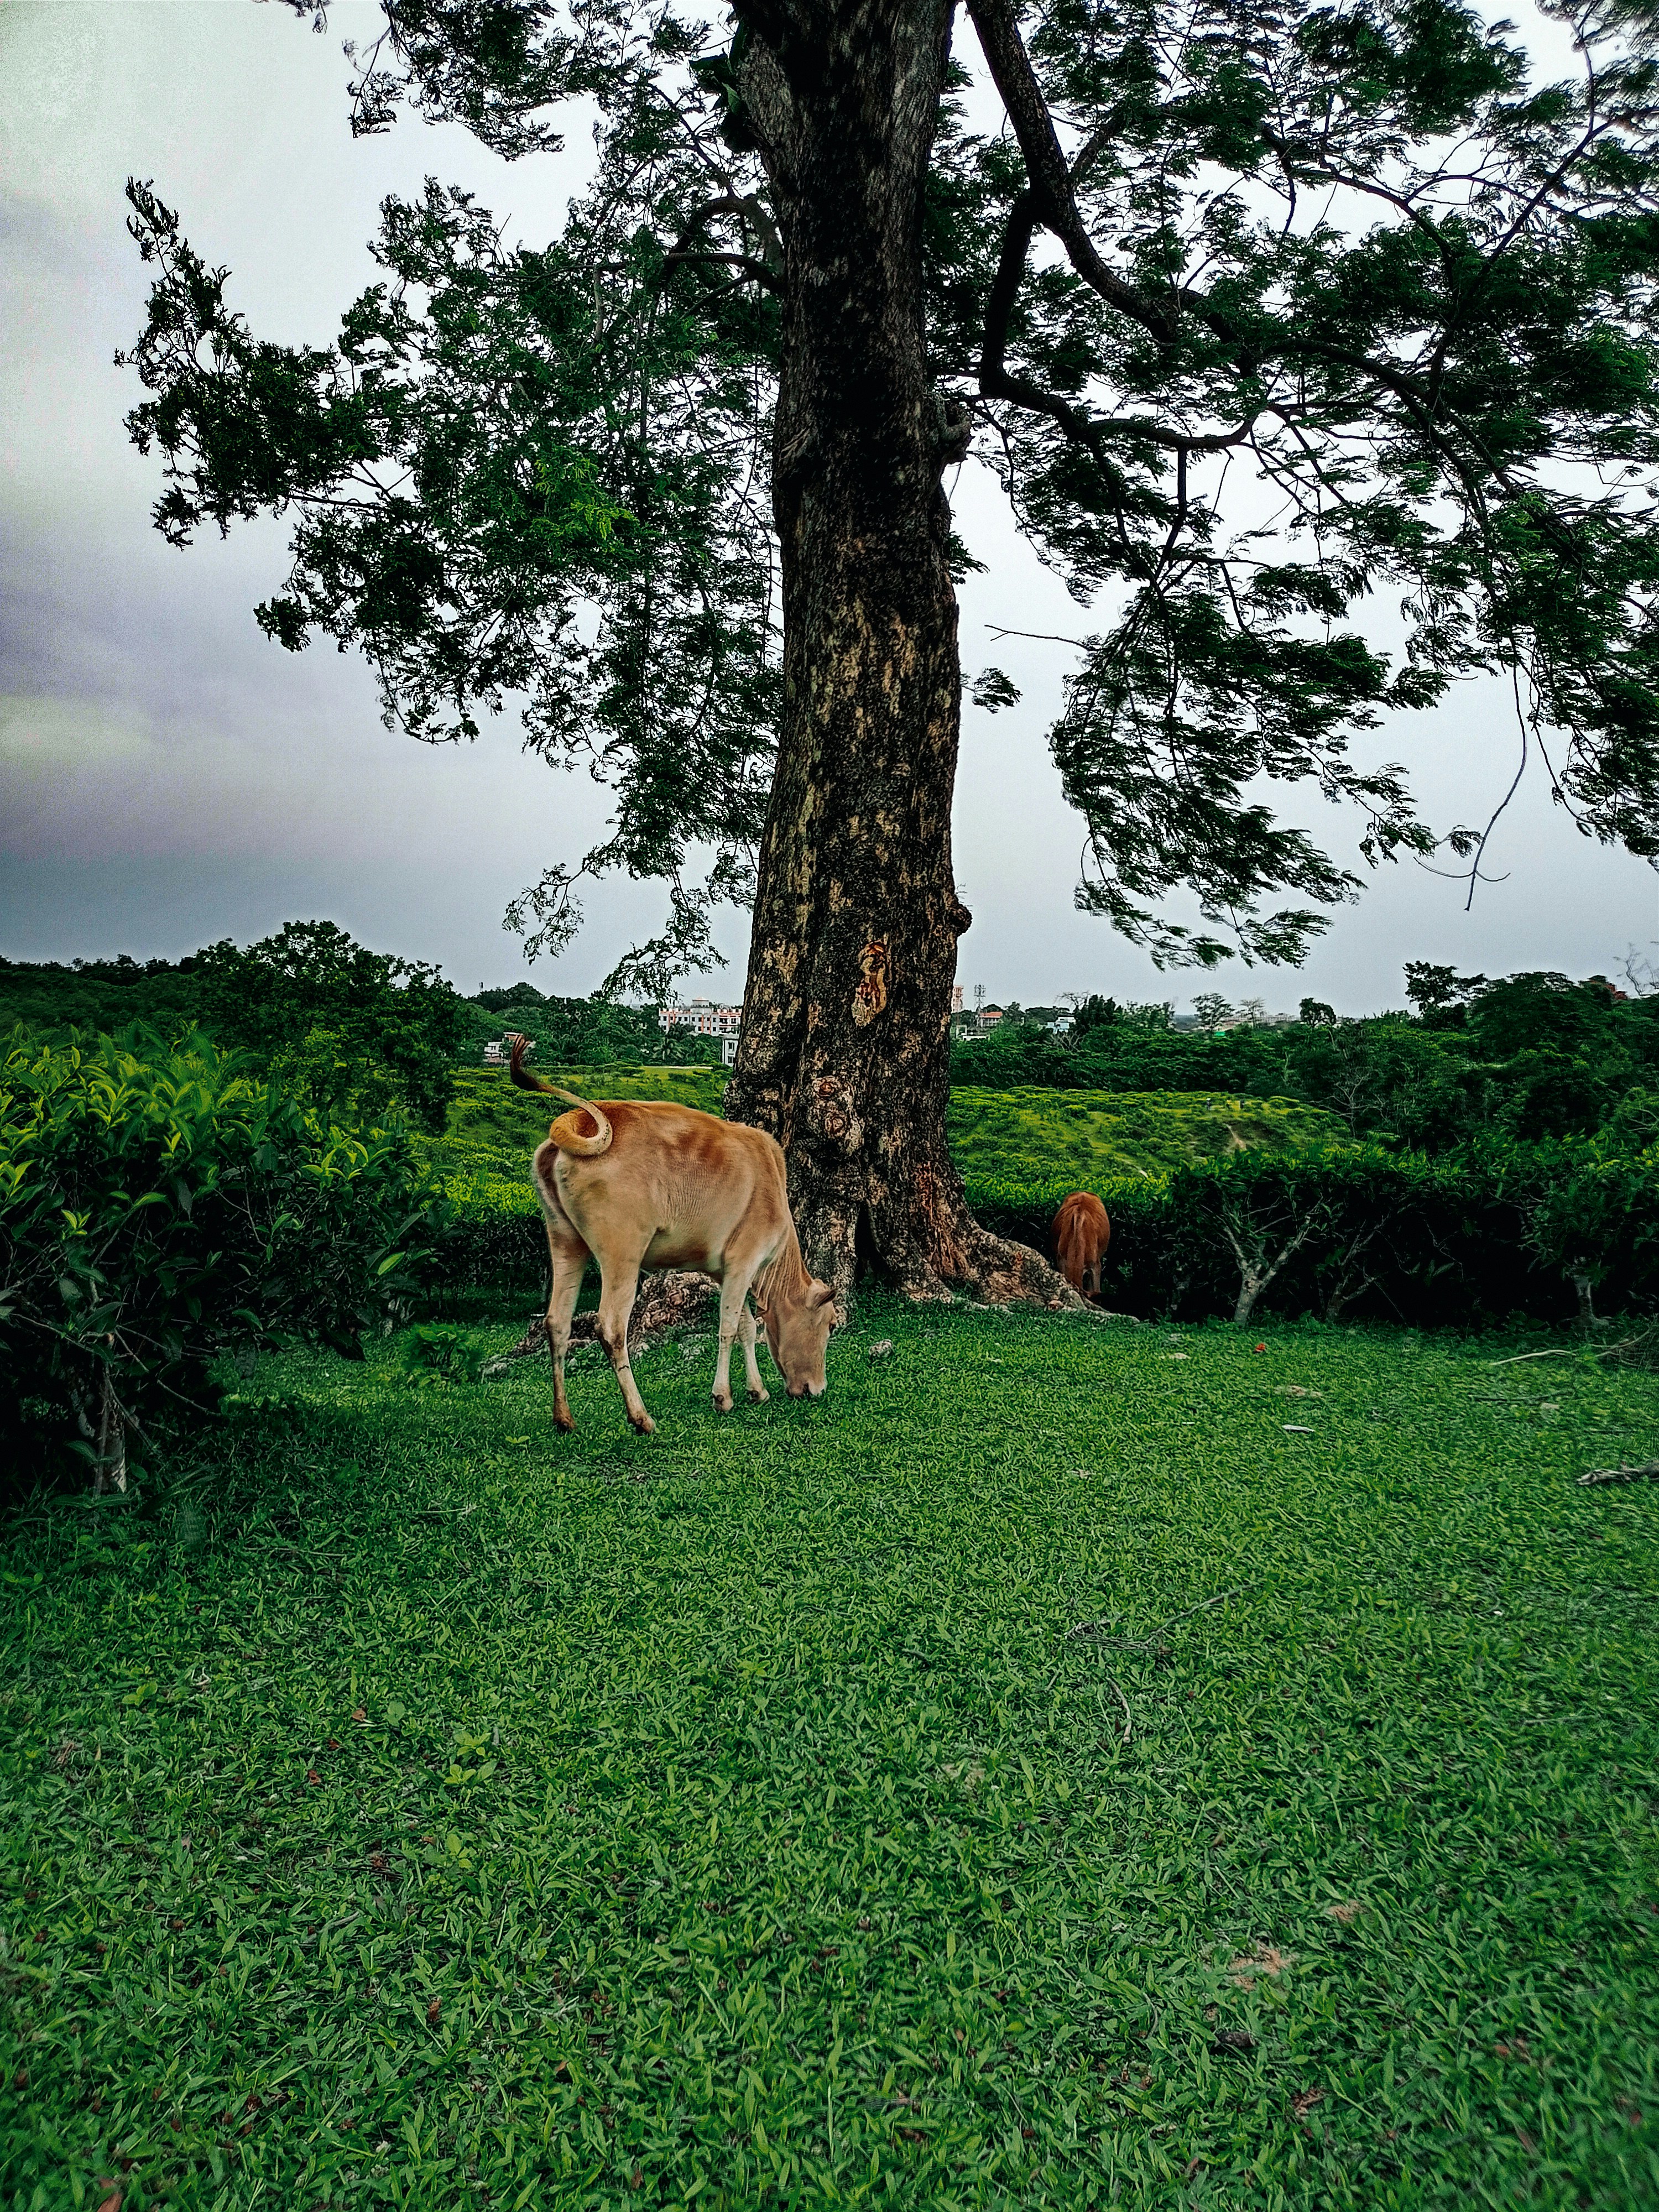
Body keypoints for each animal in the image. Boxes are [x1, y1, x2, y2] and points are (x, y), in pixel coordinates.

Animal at [507, 1036, 835, 1434]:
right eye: (831, 1325)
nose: (818, 1389)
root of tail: (581, 1117)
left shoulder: (726, 1270)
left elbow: (744, 1325)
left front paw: (756, 1391)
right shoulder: (744, 1261)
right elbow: (728, 1327)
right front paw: (723, 1398)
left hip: (566, 1240)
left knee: (557, 1321)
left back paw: (564, 1418)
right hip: (623, 1252)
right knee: (611, 1328)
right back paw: (641, 1417)